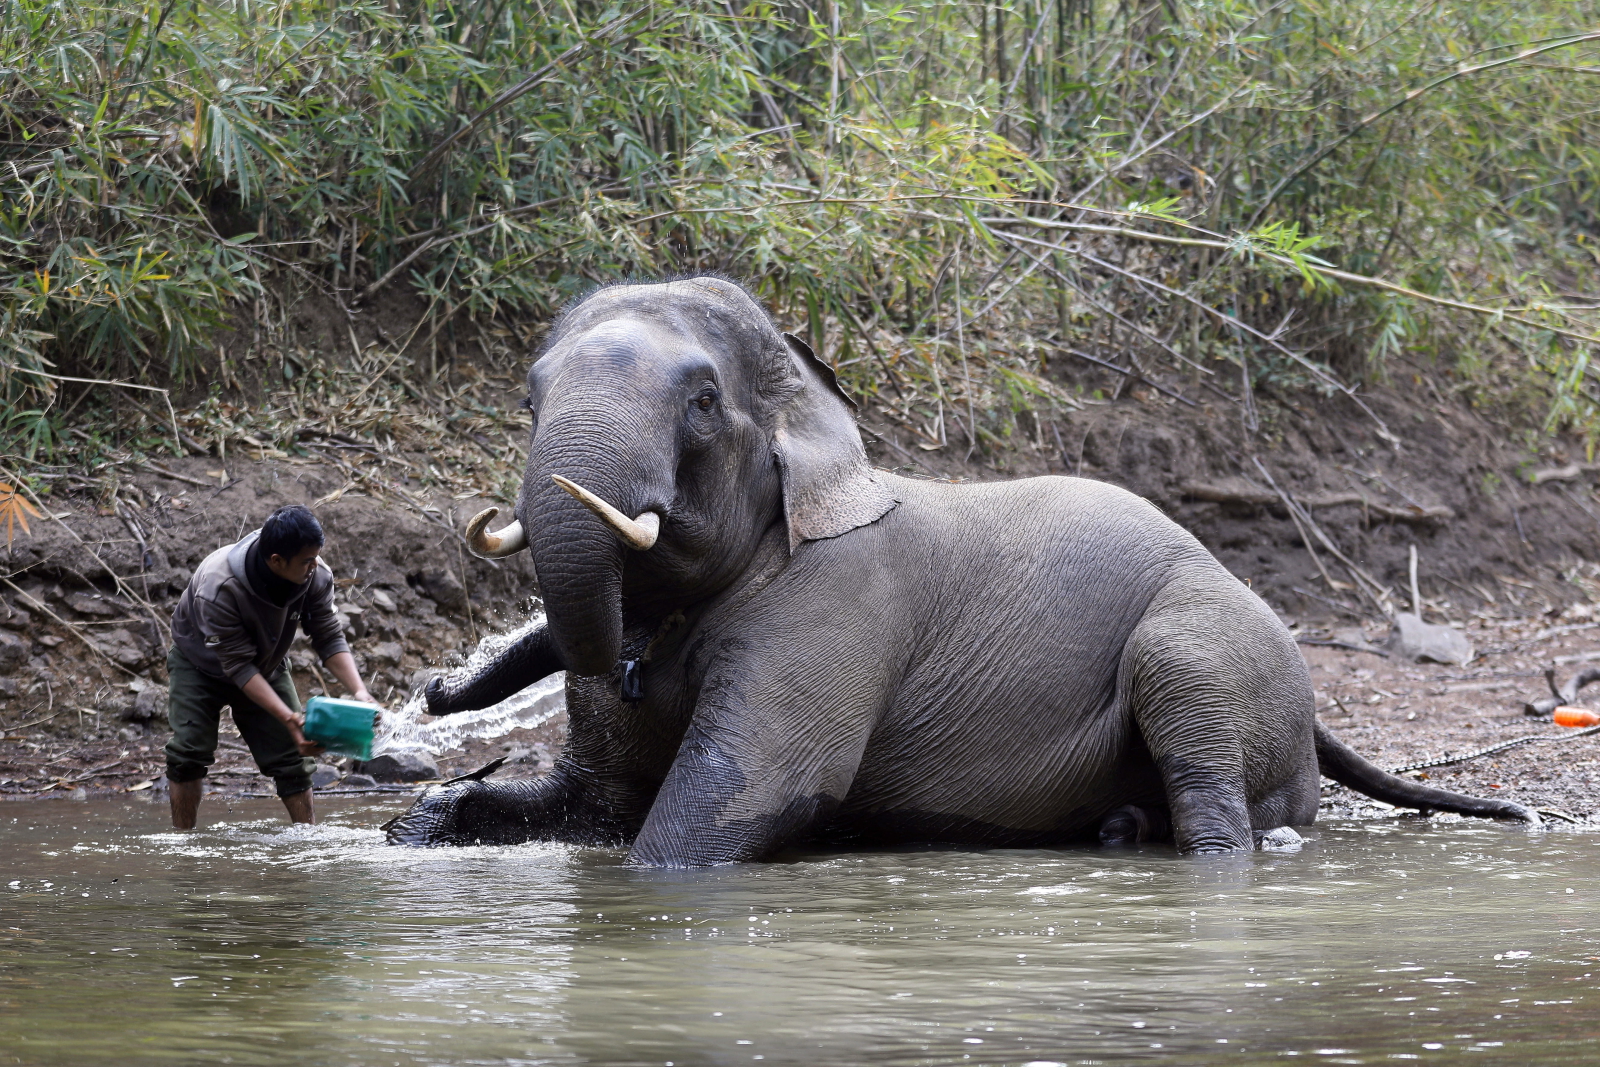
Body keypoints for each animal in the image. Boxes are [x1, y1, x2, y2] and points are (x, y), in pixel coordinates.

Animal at [380, 278, 1529, 870]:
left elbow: (725, 806)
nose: (432, 685)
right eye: (527, 397)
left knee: (1202, 743)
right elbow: (593, 802)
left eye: (702, 400)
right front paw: (414, 826)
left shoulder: (835, 606)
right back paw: (1119, 830)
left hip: (1208, 644)